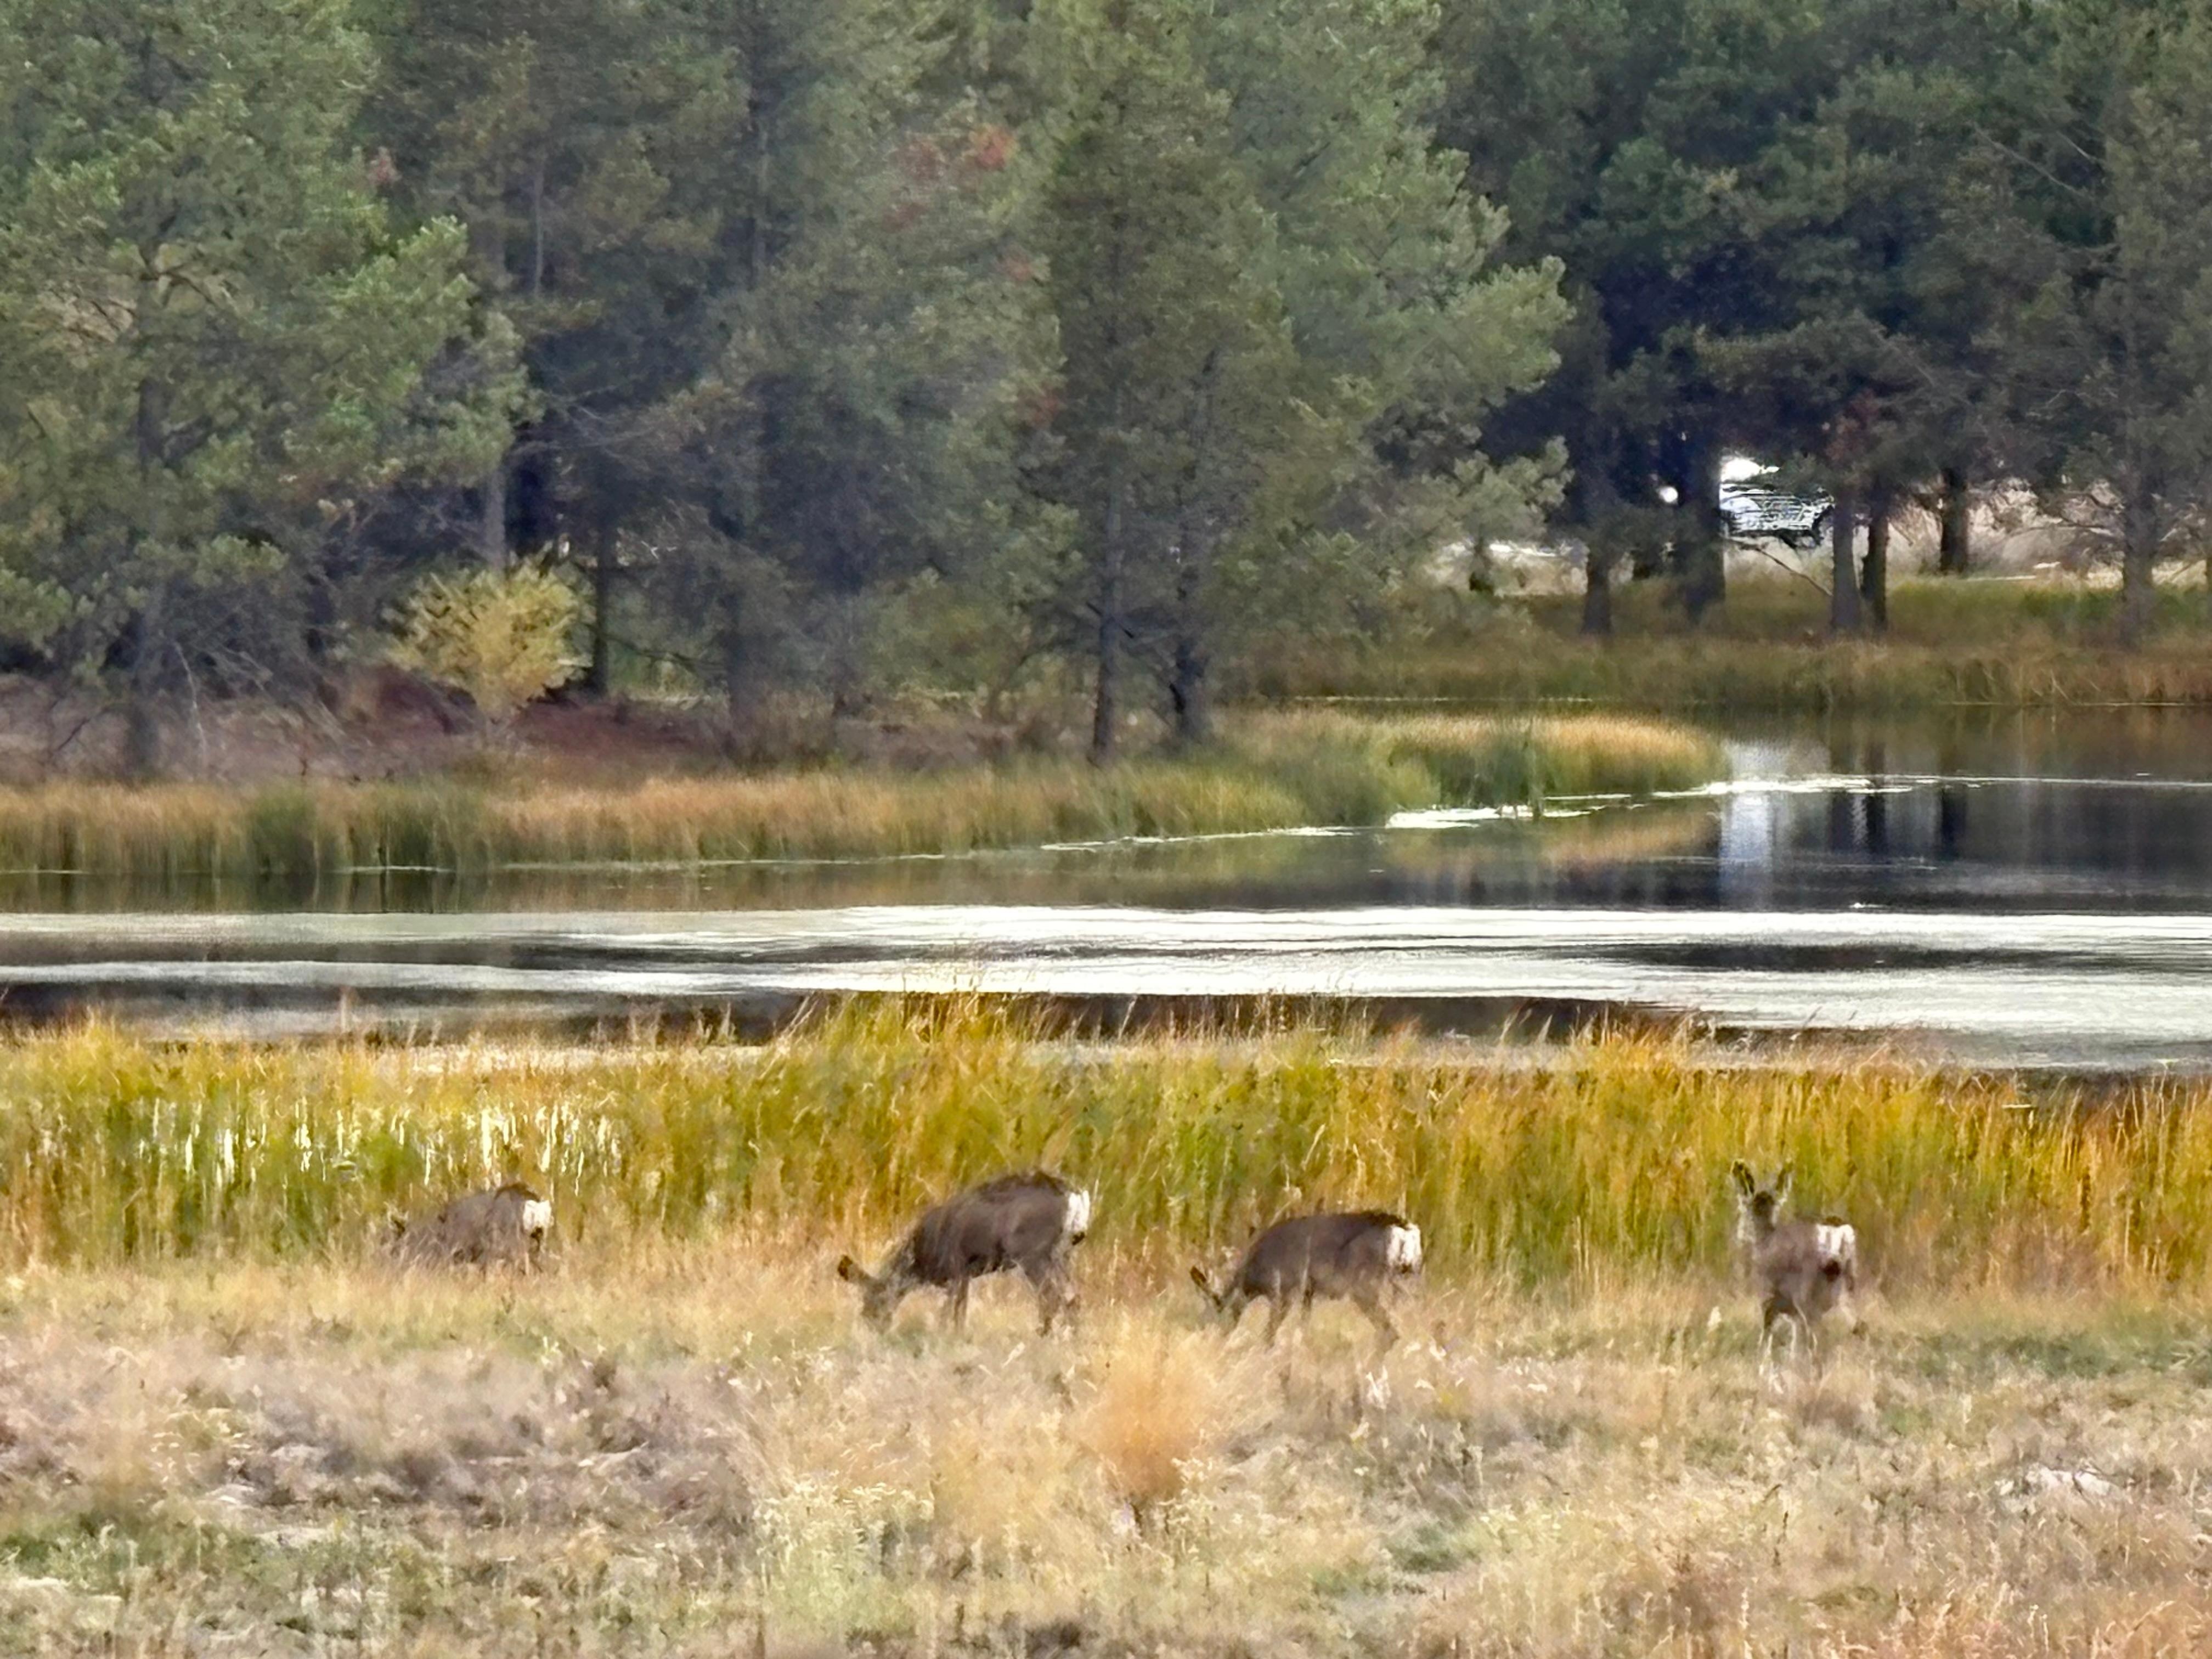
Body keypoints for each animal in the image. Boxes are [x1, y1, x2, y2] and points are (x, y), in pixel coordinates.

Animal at [836, 1171, 1093, 1334]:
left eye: (873, 1299)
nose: (871, 1325)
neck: (920, 1260)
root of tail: (1075, 1195)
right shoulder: (966, 1275)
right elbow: (961, 1312)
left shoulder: (956, 1266)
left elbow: (949, 1313)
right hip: (1063, 1254)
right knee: (1073, 1297)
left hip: (1033, 1251)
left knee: (1051, 1297)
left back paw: (1042, 1336)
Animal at [1190, 1210, 1423, 1351]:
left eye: (1219, 1311)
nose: (1217, 1339)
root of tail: (1406, 1233)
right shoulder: (1308, 1293)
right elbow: (1304, 1329)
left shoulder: (1286, 1290)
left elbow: (1270, 1333)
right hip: (1408, 1280)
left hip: (1366, 1286)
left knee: (1390, 1331)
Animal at [1729, 1161, 1860, 1358]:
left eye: (1743, 1209)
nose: (1740, 1233)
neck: (1765, 1240)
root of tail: (1840, 1235)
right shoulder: (1793, 1315)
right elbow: (1794, 1345)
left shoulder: (1768, 1298)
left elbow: (1766, 1340)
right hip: (1847, 1290)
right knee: (1859, 1327)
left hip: (1807, 1297)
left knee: (1816, 1341)